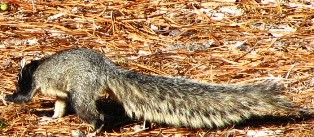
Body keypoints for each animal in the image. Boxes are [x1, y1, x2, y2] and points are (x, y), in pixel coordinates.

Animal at [4, 48, 302, 133]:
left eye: (18, 78)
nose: (12, 86)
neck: (35, 67)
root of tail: (105, 70)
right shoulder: (60, 93)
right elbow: (59, 105)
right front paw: (51, 117)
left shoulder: (33, 83)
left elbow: (26, 96)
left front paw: (9, 97)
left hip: (83, 89)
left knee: (93, 114)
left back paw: (94, 128)